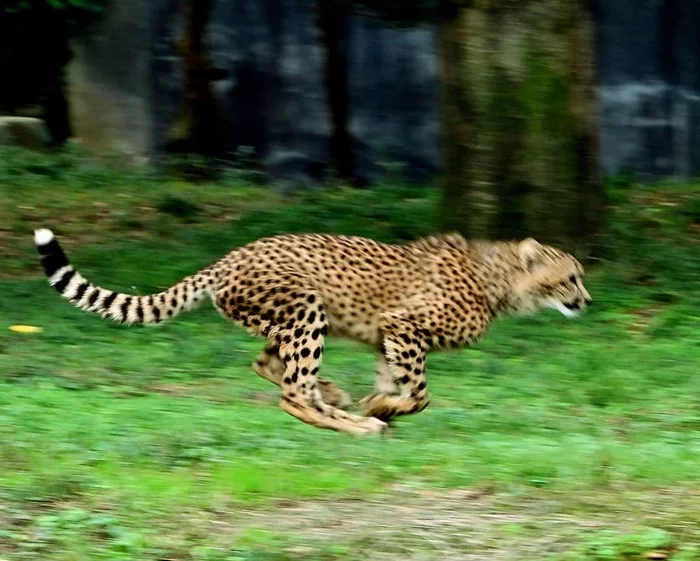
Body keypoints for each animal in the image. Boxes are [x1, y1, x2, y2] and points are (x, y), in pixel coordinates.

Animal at [32, 229, 592, 438]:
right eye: (570, 277)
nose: (586, 301)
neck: (499, 279)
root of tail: (230, 256)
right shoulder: (404, 326)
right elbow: (420, 394)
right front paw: (382, 409)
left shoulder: (387, 336)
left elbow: (394, 382)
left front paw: (377, 402)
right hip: (306, 309)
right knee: (291, 392)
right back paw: (355, 424)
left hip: (286, 318)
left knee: (270, 366)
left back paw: (341, 402)